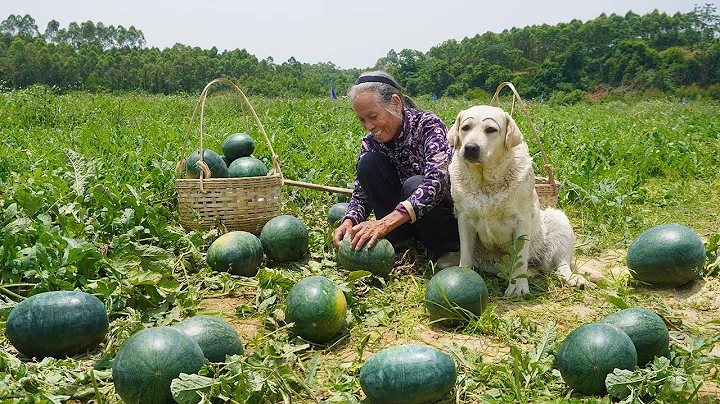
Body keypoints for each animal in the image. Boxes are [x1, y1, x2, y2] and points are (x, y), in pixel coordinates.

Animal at [448, 105, 588, 296]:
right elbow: (466, 254)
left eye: (490, 129)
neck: (485, 182)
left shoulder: (522, 219)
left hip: (557, 219)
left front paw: (518, 286)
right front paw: (463, 275)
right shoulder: (464, 219)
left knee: (562, 265)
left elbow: (520, 257)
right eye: (465, 128)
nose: (470, 148)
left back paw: (574, 278)